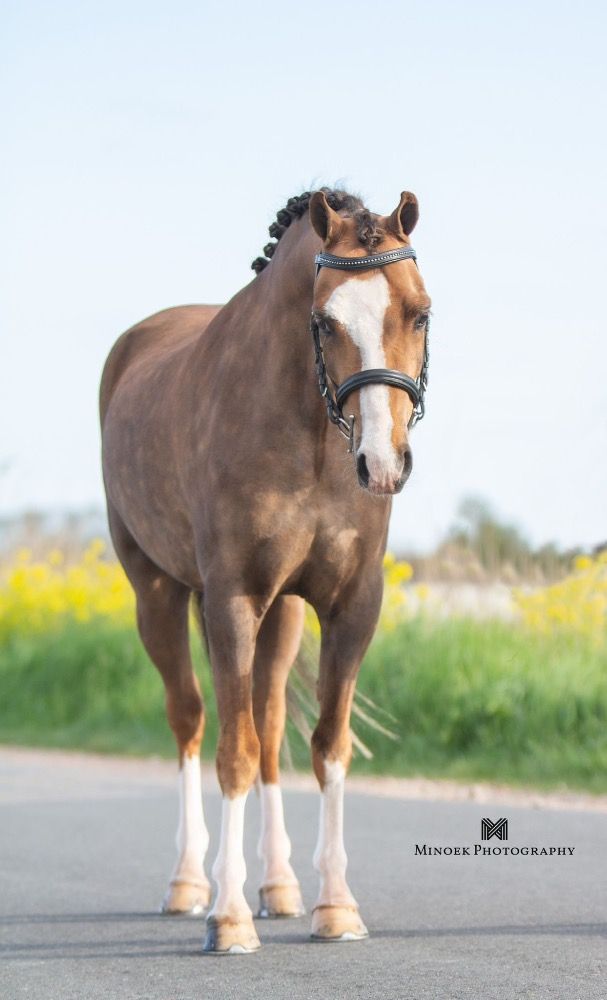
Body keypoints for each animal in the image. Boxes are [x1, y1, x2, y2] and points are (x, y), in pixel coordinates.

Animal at [99, 186, 431, 953]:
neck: (306, 439)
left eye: (420, 311)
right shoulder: (232, 600)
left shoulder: (351, 604)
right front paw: (228, 918)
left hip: (281, 615)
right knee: (192, 721)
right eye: (325, 321)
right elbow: (233, 752)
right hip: (158, 594)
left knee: (273, 726)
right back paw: (190, 883)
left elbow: (327, 746)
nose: (382, 463)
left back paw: (279, 887)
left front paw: (335, 907)